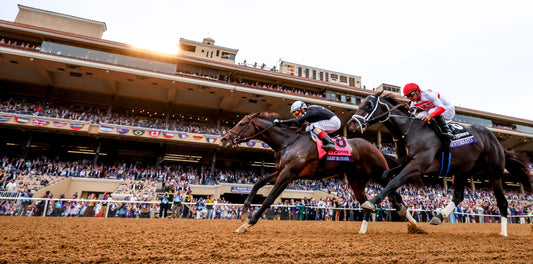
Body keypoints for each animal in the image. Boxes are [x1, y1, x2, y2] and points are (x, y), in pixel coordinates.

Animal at [219, 111, 416, 233]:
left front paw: (248, 224)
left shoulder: (288, 174)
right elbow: (257, 184)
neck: (288, 142)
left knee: (394, 192)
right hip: (356, 181)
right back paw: (363, 229)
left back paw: (411, 221)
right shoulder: (281, 171)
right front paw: (245, 211)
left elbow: (269, 199)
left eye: (242, 123)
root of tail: (375, 147)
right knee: (367, 203)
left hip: (379, 173)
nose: (224, 139)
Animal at [348, 91, 528, 237]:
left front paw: (371, 201)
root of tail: (498, 143)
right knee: (458, 196)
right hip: (461, 171)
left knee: (502, 202)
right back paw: (439, 216)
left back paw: (503, 233)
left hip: (494, 173)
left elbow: (394, 182)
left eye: (369, 104)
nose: (352, 123)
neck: (411, 131)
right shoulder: (406, 163)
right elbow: (387, 176)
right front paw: (399, 207)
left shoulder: (418, 165)